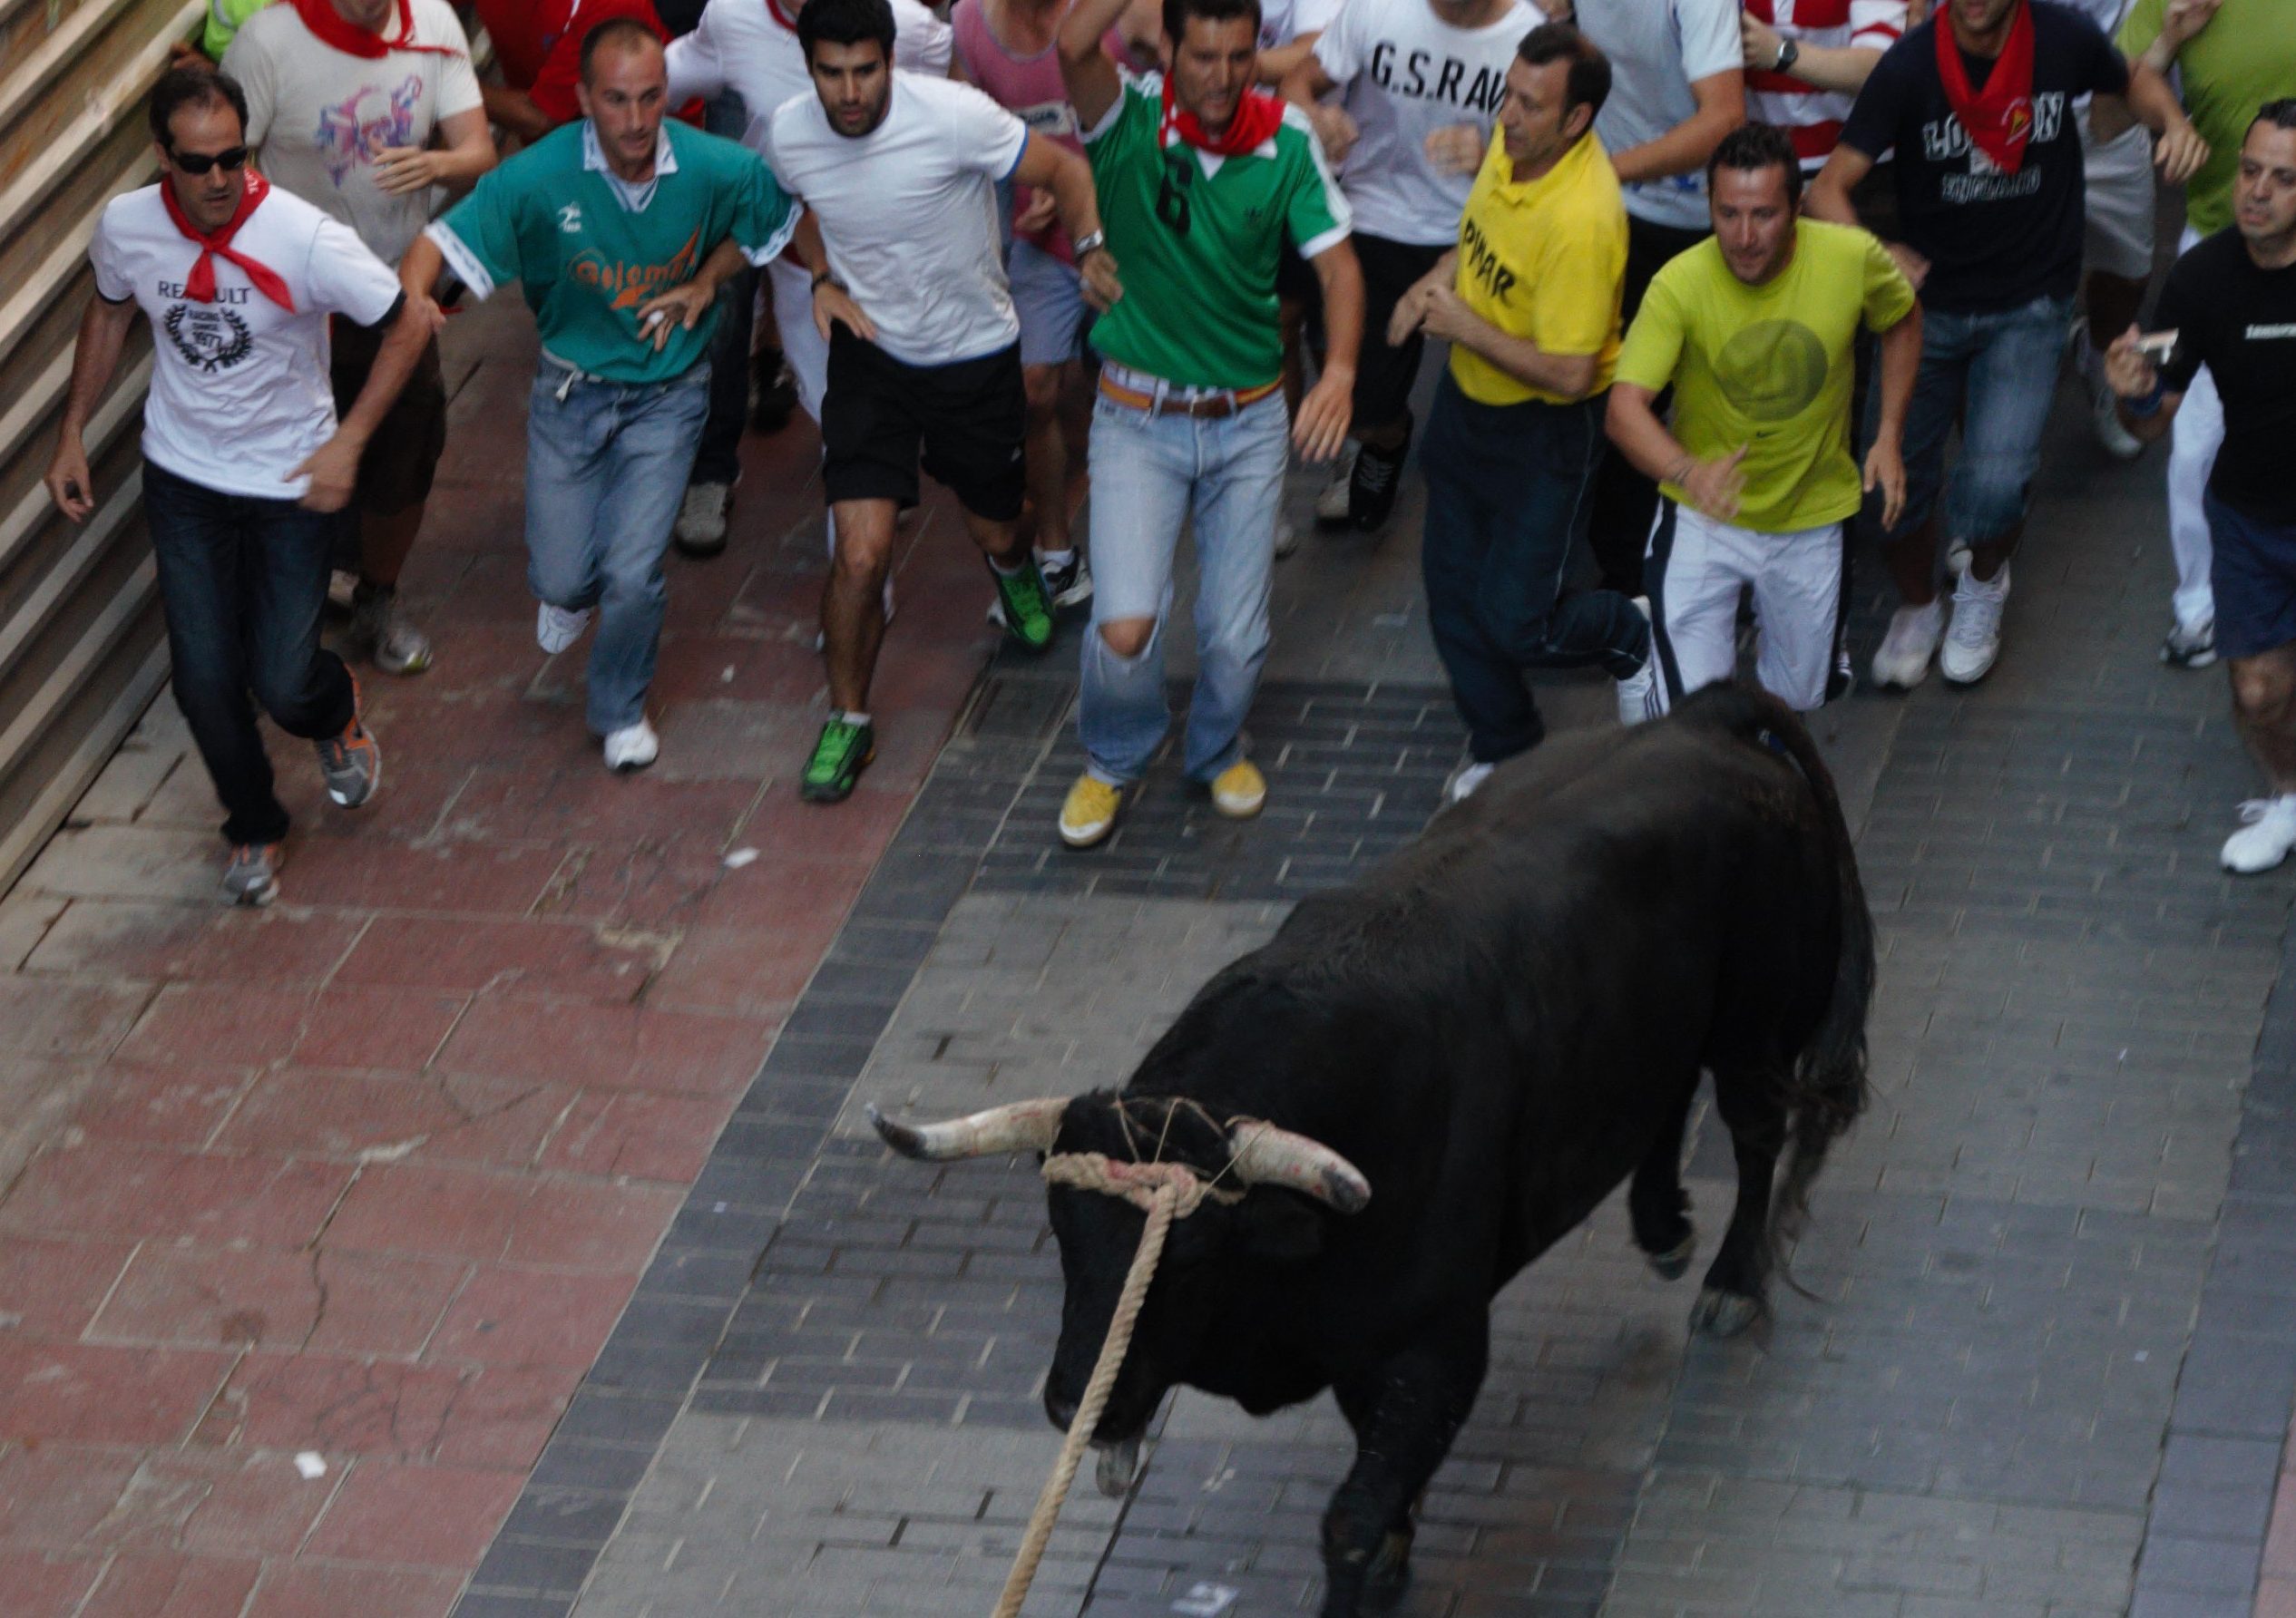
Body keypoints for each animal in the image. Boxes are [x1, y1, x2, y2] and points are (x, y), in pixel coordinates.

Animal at [867, 684, 1873, 1615]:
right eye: (1063, 1235)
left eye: (1183, 1260)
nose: (1071, 1400)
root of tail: (1697, 716)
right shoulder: (1362, 1350)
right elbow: (1381, 1481)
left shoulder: (1438, 1341)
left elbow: (1352, 1513)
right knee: (1666, 1098)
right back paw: (1662, 1224)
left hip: (1752, 1022)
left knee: (1753, 1136)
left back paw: (1732, 1281)